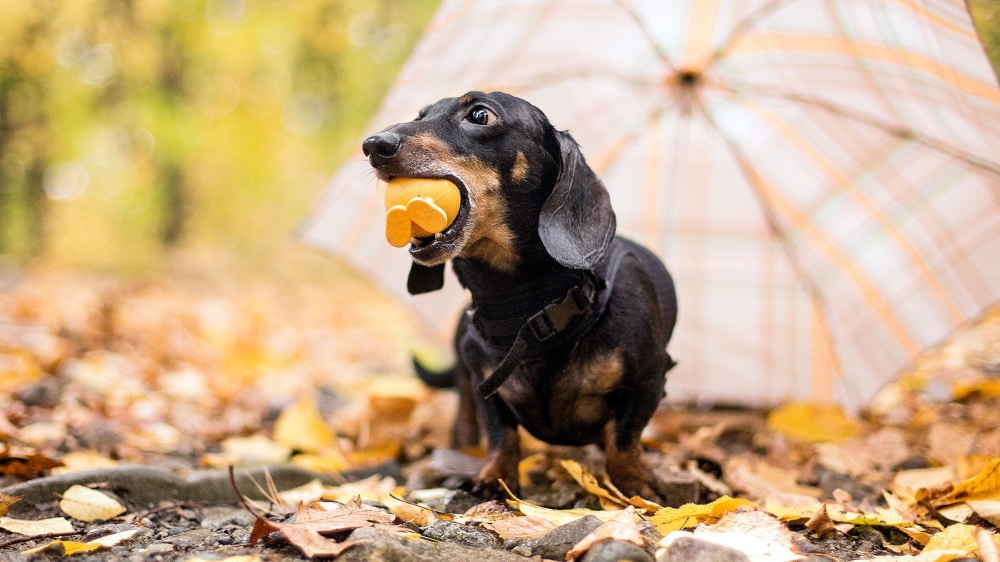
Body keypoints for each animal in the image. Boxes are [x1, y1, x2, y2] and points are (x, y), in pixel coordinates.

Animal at [362, 92, 680, 504]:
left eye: (480, 114)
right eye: (421, 115)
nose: (374, 145)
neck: (525, 305)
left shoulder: (649, 379)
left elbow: (623, 437)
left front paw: (636, 483)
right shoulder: (485, 384)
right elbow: (502, 436)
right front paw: (495, 477)